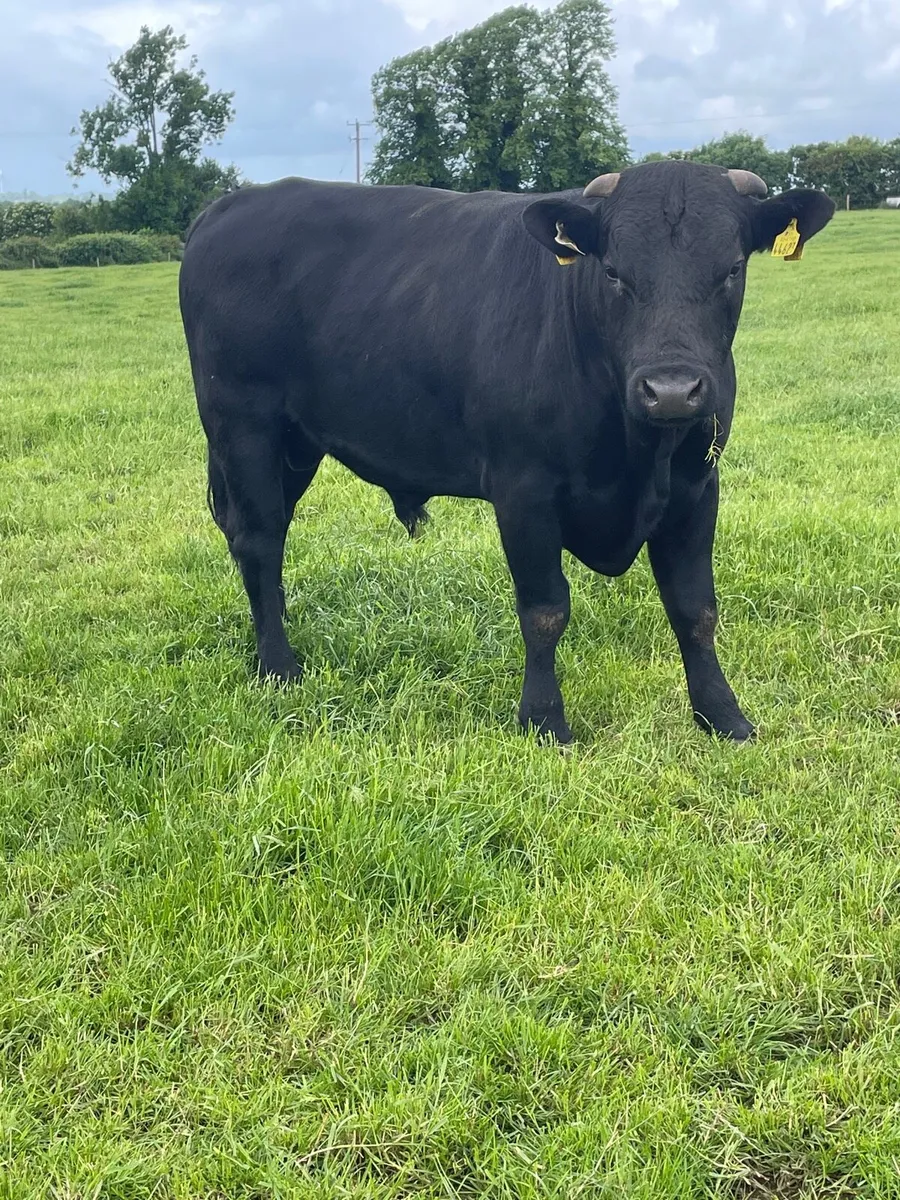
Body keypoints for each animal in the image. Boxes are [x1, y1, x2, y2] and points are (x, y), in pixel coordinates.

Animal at [178, 160, 834, 744]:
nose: (672, 389)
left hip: (295, 444)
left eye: (731, 269)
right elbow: (546, 610)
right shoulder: (524, 492)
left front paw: (723, 716)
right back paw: (278, 666)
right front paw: (544, 721)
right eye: (614, 272)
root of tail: (225, 208)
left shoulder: (696, 487)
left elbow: (695, 609)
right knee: (259, 541)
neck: (638, 451)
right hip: (244, 427)